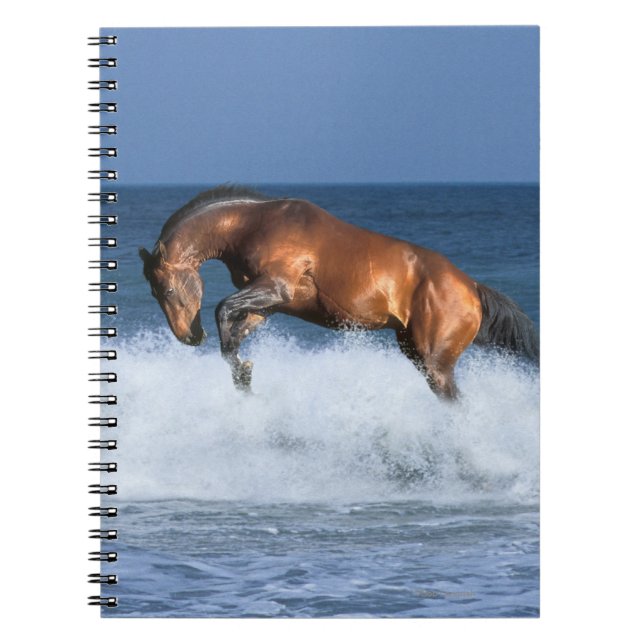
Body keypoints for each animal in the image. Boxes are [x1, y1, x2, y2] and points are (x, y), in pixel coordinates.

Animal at [139, 185, 538, 400]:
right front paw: (244, 375)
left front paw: (242, 373)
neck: (254, 224)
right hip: (414, 351)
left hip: (435, 364)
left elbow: (222, 309)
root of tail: (471, 286)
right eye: (154, 294)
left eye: (168, 289)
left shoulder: (275, 287)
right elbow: (233, 334)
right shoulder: (266, 305)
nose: (188, 337)